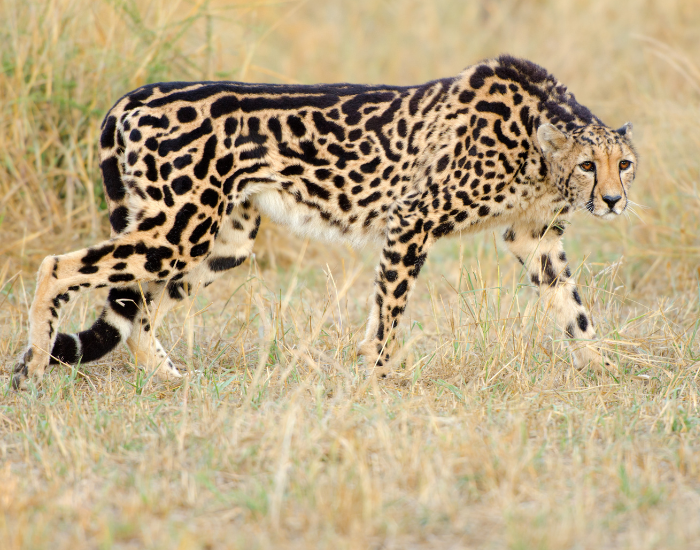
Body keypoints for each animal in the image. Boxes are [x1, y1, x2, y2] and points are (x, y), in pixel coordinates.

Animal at [11, 54, 638, 390]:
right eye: (589, 164)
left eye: (624, 164)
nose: (613, 200)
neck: (536, 139)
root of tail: (138, 93)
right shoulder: (412, 220)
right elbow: (388, 314)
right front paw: (380, 380)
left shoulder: (535, 238)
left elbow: (575, 312)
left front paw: (610, 370)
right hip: (177, 228)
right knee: (58, 266)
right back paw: (33, 368)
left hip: (223, 240)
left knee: (138, 308)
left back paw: (171, 381)